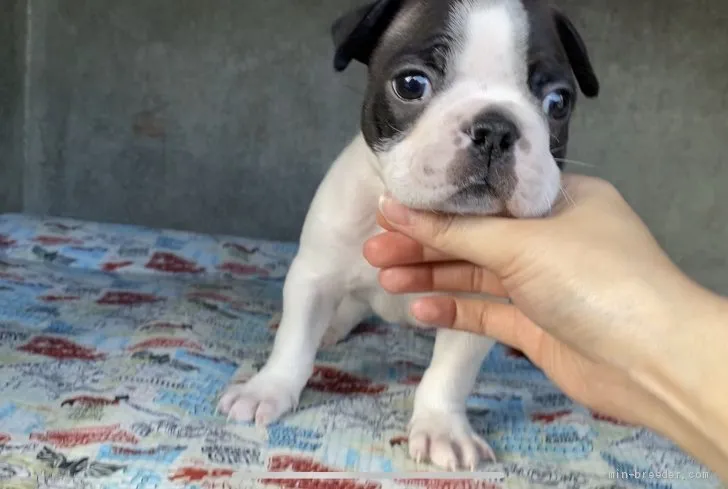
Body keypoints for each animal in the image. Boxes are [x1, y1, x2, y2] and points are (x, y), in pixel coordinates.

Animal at [219, 0, 600, 470]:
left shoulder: (474, 307)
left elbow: (449, 374)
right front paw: (267, 389)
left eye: (558, 102)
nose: (495, 128)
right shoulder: (314, 275)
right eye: (411, 84)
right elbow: (294, 341)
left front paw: (441, 428)